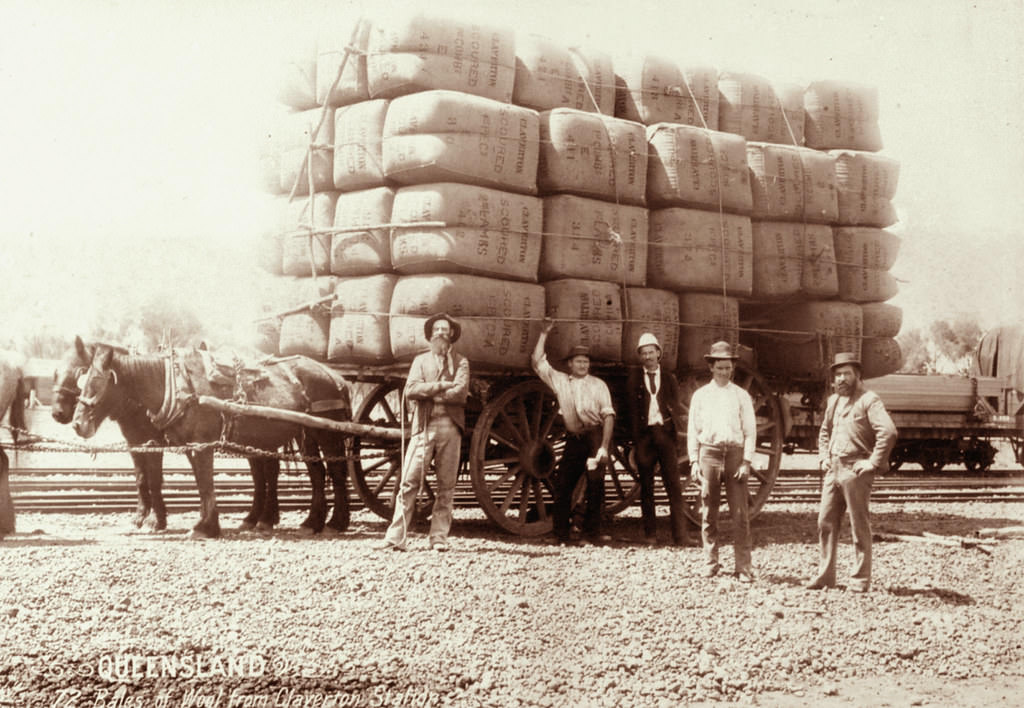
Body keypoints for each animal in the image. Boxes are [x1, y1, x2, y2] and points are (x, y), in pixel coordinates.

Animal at [69, 342, 352, 536]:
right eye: (83, 380)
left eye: (96, 382)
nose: (77, 424)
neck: (175, 388)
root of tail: (335, 377)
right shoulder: (182, 445)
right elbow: (193, 482)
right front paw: (202, 523)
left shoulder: (197, 444)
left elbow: (202, 483)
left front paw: (204, 527)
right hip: (305, 434)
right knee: (315, 473)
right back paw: (309, 522)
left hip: (327, 432)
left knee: (336, 472)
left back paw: (336, 522)